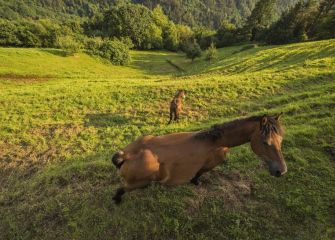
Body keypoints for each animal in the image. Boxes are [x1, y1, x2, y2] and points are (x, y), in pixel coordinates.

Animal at [112, 113, 286, 203]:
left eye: (281, 140)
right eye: (265, 142)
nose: (281, 171)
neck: (214, 141)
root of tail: (125, 155)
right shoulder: (211, 163)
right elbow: (200, 172)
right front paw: (195, 181)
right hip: (138, 183)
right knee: (122, 189)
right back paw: (117, 199)